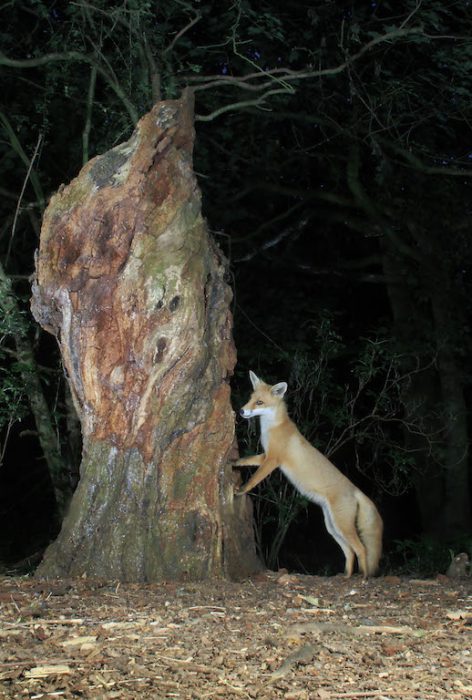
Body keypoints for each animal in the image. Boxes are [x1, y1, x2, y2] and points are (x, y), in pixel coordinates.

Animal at [233, 370, 384, 576]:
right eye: (250, 399)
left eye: (259, 402)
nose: (240, 411)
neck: (273, 428)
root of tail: (355, 490)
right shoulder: (265, 455)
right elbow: (247, 460)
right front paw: (234, 462)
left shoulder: (273, 461)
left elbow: (254, 479)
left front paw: (241, 490)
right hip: (332, 527)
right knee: (350, 551)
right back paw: (346, 576)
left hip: (342, 526)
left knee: (361, 549)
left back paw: (364, 577)